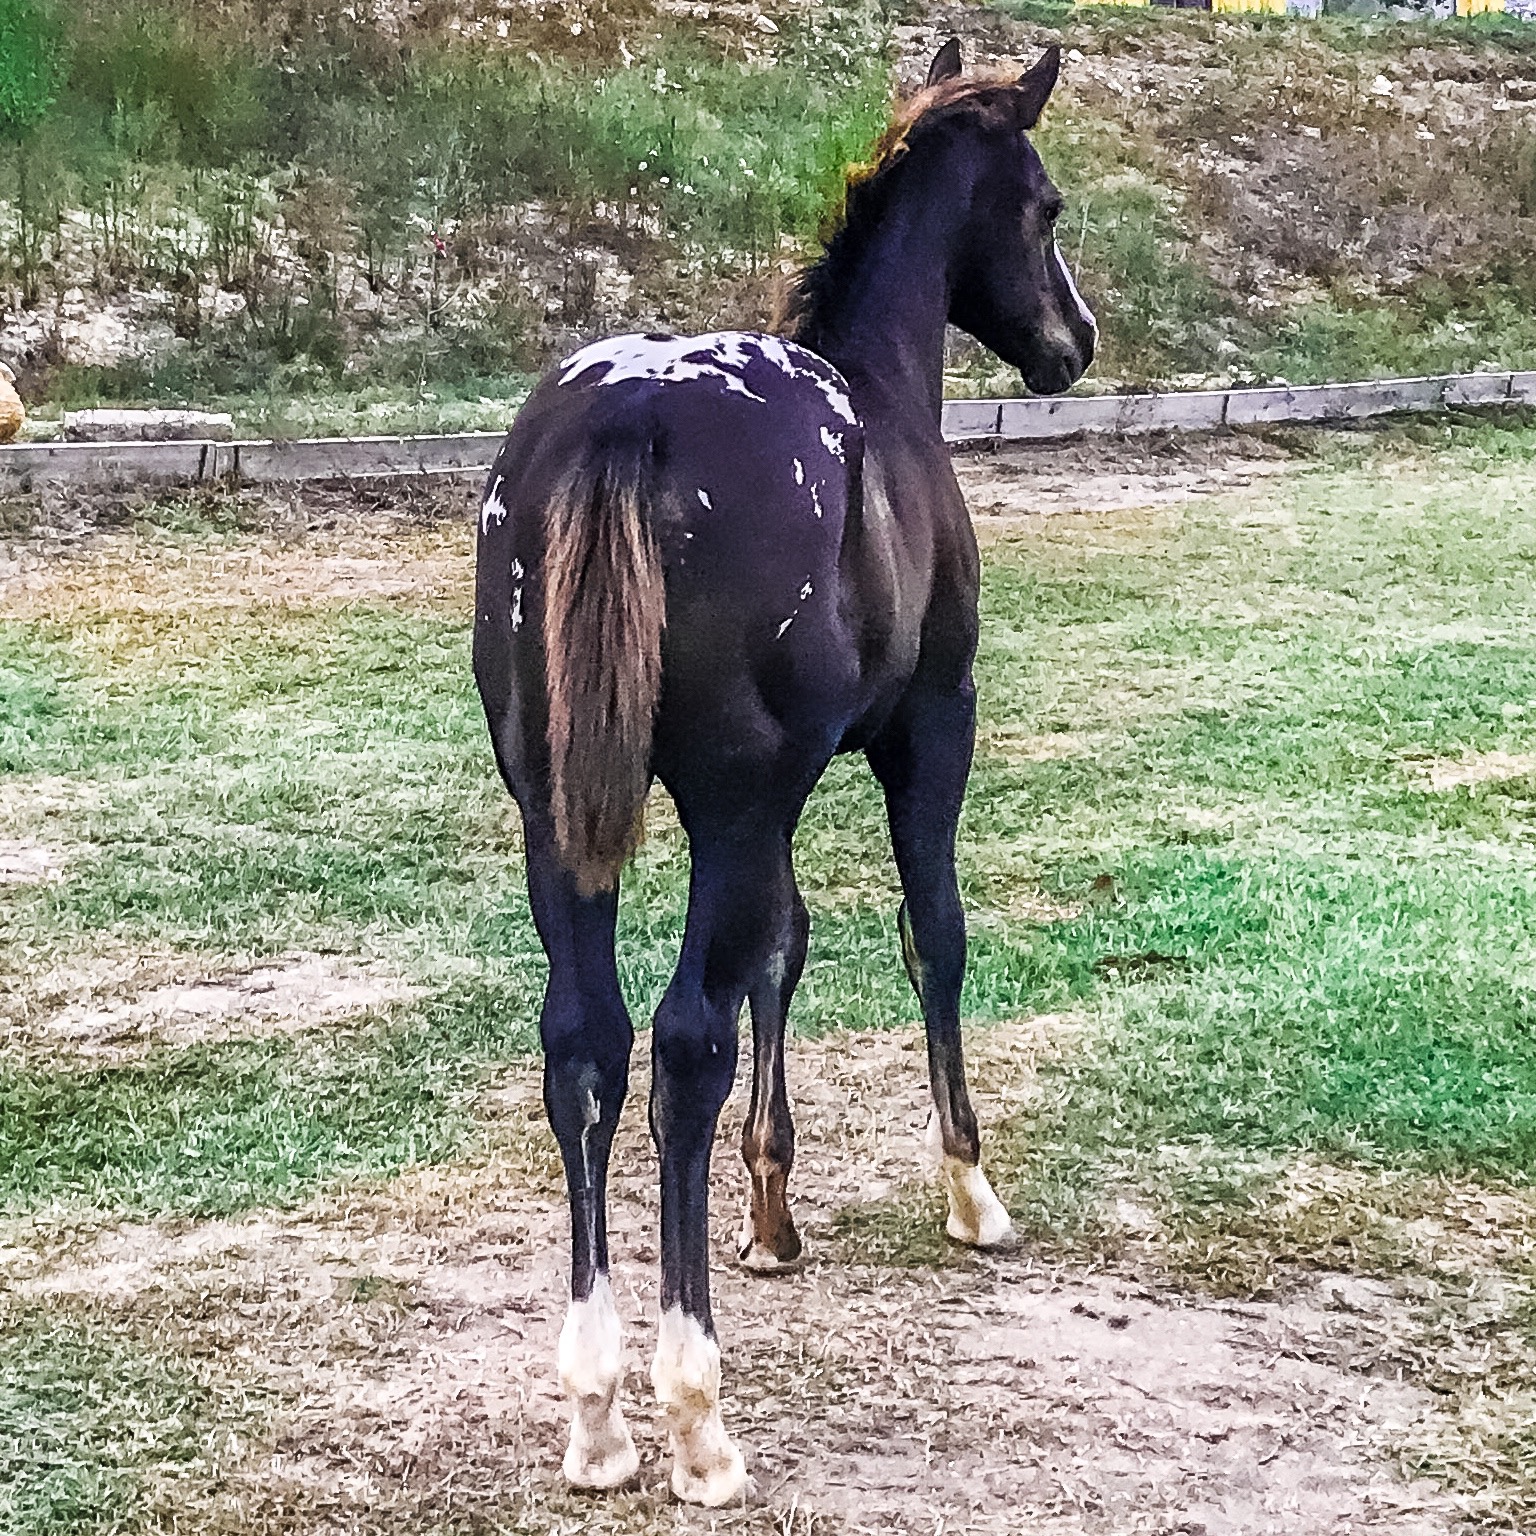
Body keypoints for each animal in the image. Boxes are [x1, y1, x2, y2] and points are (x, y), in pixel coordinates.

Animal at [473, 39, 1096, 1506]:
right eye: (1045, 206)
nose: (1075, 344)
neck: (881, 398)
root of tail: (630, 411)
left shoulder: (784, 795)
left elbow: (784, 952)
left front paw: (773, 1209)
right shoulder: (925, 730)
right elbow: (934, 934)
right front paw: (970, 1188)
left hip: (564, 817)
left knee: (583, 1045)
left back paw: (597, 1411)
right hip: (732, 801)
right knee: (679, 1045)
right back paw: (695, 1416)